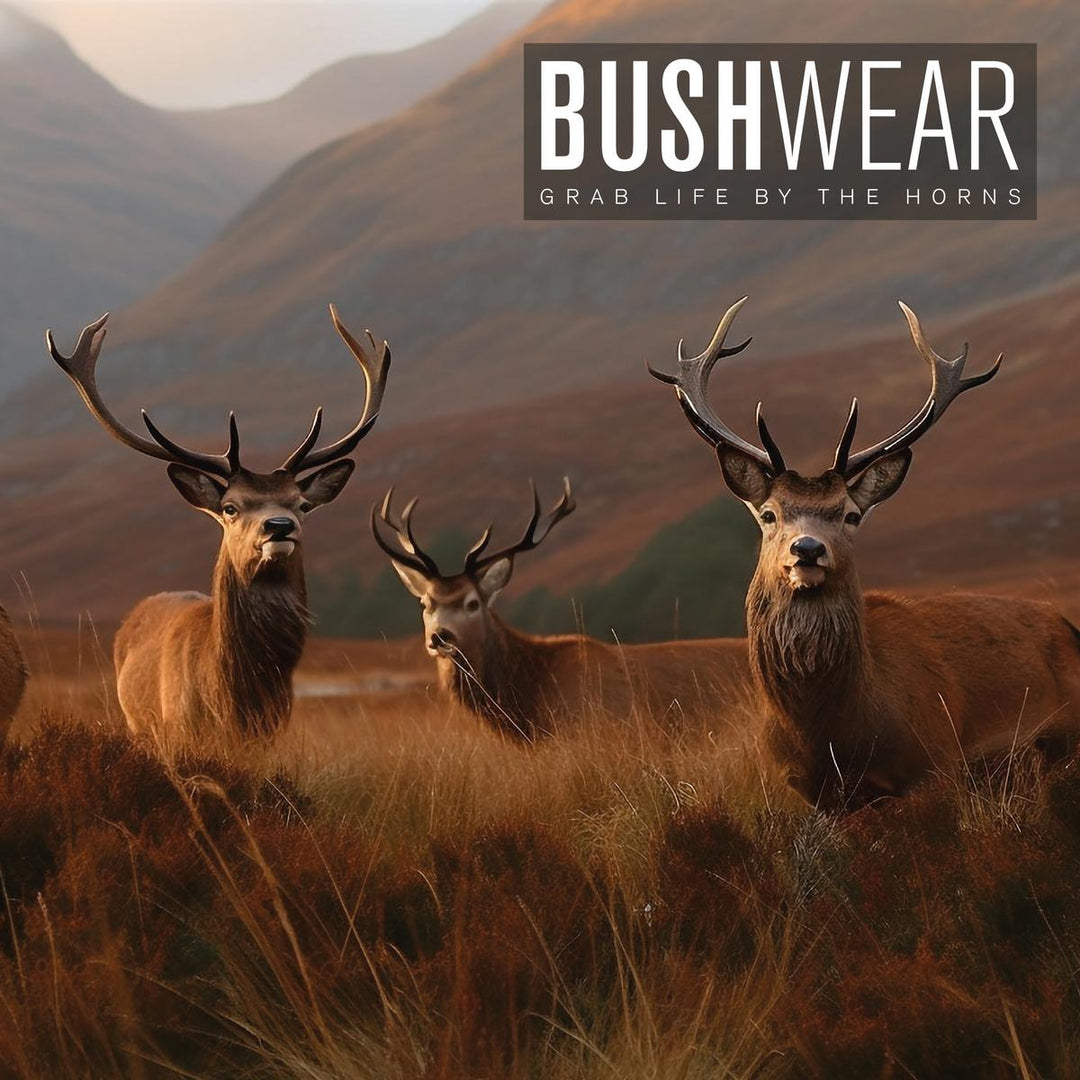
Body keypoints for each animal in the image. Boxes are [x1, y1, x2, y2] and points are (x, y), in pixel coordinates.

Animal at [46, 307, 389, 750]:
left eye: (301, 505)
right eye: (230, 508)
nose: (280, 525)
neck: (232, 698)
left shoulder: (269, 735)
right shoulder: (179, 731)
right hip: (138, 724)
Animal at [651, 297, 1080, 812]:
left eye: (851, 514)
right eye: (769, 514)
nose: (808, 548)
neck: (830, 733)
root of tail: (1068, 625)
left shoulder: (934, 764)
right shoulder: (807, 791)